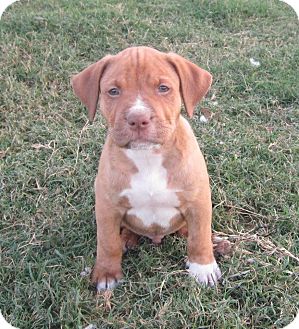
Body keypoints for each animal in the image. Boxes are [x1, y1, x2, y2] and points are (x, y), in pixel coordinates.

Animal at [71, 46, 221, 290]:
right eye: (113, 91)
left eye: (163, 88)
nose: (138, 118)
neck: (148, 156)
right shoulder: (106, 206)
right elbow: (107, 242)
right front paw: (106, 273)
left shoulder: (198, 201)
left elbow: (199, 237)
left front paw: (203, 268)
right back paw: (126, 239)